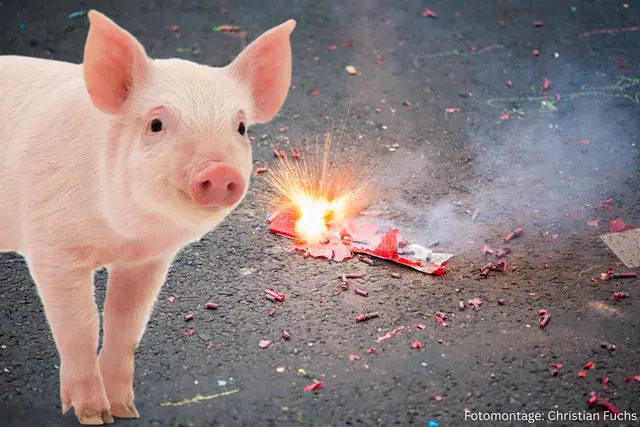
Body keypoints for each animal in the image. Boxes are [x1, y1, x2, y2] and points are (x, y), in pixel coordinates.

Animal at [0, 10, 295, 425]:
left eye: (240, 128)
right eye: (156, 124)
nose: (220, 169)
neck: (124, 236)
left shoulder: (148, 260)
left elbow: (127, 323)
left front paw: (126, 411)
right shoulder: (51, 247)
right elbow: (80, 326)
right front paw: (93, 416)